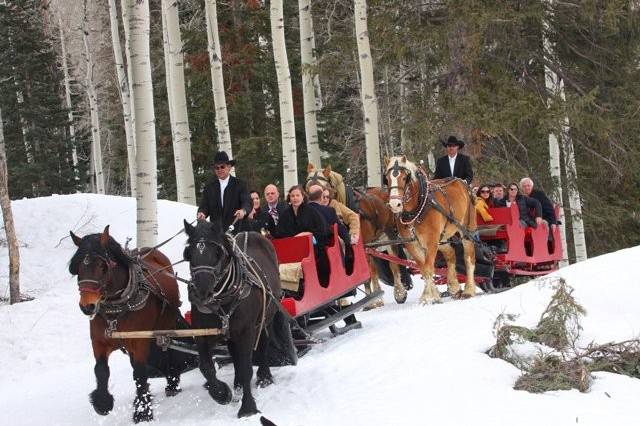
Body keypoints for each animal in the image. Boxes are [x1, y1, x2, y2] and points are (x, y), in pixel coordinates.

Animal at [70, 226, 185, 422]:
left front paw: (143, 411)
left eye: (102, 266)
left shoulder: (139, 341)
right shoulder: (99, 341)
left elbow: (139, 373)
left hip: (164, 326)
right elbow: (101, 370)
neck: (117, 308)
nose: (87, 306)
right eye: (78, 267)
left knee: (166, 352)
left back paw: (172, 382)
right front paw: (103, 403)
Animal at [184, 220, 286, 416]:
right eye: (189, 253)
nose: (201, 293)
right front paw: (222, 393)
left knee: (263, 343)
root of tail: (250, 233)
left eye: (218, 253)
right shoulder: (203, 334)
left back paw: (264, 376)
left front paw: (248, 407)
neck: (224, 297)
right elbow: (206, 367)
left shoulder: (246, 331)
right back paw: (237, 385)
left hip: (265, 318)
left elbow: (247, 367)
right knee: (235, 353)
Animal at [384, 155, 476, 304]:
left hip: (466, 229)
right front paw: (434, 296)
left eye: (404, 178)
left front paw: (428, 297)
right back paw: (454, 287)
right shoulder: (412, 244)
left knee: (469, 257)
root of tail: (462, 182)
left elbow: (428, 268)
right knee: (450, 254)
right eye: (387, 179)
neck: (417, 208)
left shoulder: (431, 241)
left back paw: (469, 290)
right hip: (442, 238)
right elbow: (423, 268)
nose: (394, 204)